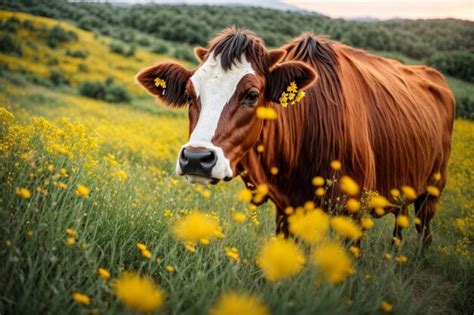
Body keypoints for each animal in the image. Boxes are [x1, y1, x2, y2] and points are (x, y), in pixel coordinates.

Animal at [137, 27, 456, 246]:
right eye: (190, 94)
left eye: (252, 94)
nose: (196, 158)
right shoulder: (286, 211)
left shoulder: (352, 216)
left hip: (433, 191)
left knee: (424, 233)